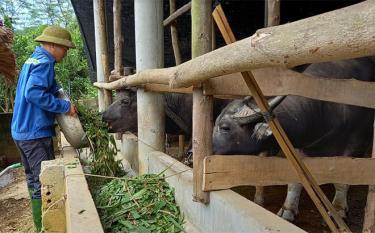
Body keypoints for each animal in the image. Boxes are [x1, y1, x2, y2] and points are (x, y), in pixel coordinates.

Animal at [213, 57, 374, 221]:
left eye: (225, 127)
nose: (208, 149)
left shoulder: (357, 145)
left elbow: (343, 181)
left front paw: (339, 209)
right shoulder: (297, 148)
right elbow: (294, 181)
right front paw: (288, 210)